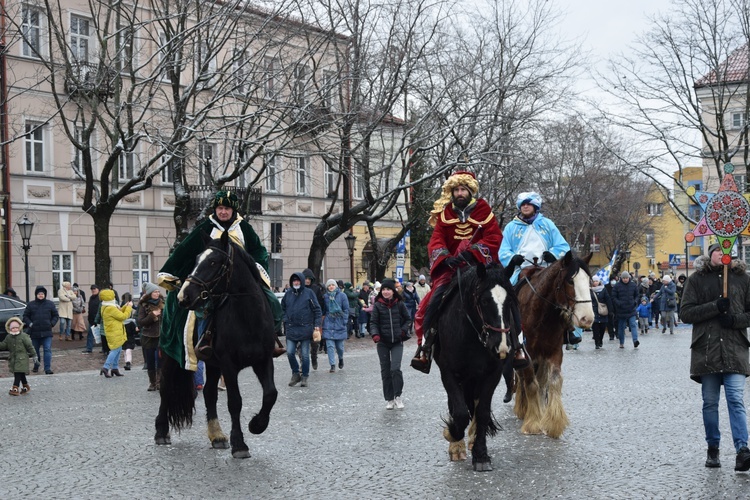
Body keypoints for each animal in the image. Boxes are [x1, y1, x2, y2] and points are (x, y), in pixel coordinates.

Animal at [153, 230, 280, 458]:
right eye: (196, 260)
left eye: (213, 262)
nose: (185, 296)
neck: (247, 318)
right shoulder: (229, 365)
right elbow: (235, 401)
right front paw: (239, 444)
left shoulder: (263, 360)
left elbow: (270, 394)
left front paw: (257, 425)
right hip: (170, 357)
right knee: (166, 388)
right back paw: (161, 431)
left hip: (212, 364)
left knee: (209, 393)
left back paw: (217, 436)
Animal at [426, 260, 524, 470]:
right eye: (484, 301)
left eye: (510, 302)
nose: (501, 345)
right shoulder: (448, 372)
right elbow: (460, 412)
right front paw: (452, 434)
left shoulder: (492, 374)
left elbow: (483, 412)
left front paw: (480, 454)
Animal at [516, 250, 596, 438]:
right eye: (570, 281)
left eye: (589, 281)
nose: (587, 318)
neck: (541, 315)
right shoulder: (527, 352)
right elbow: (530, 384)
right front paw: (533, 422)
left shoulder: (554, 351)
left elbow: (553, 381)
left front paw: (553, 421)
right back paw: (523, 408)